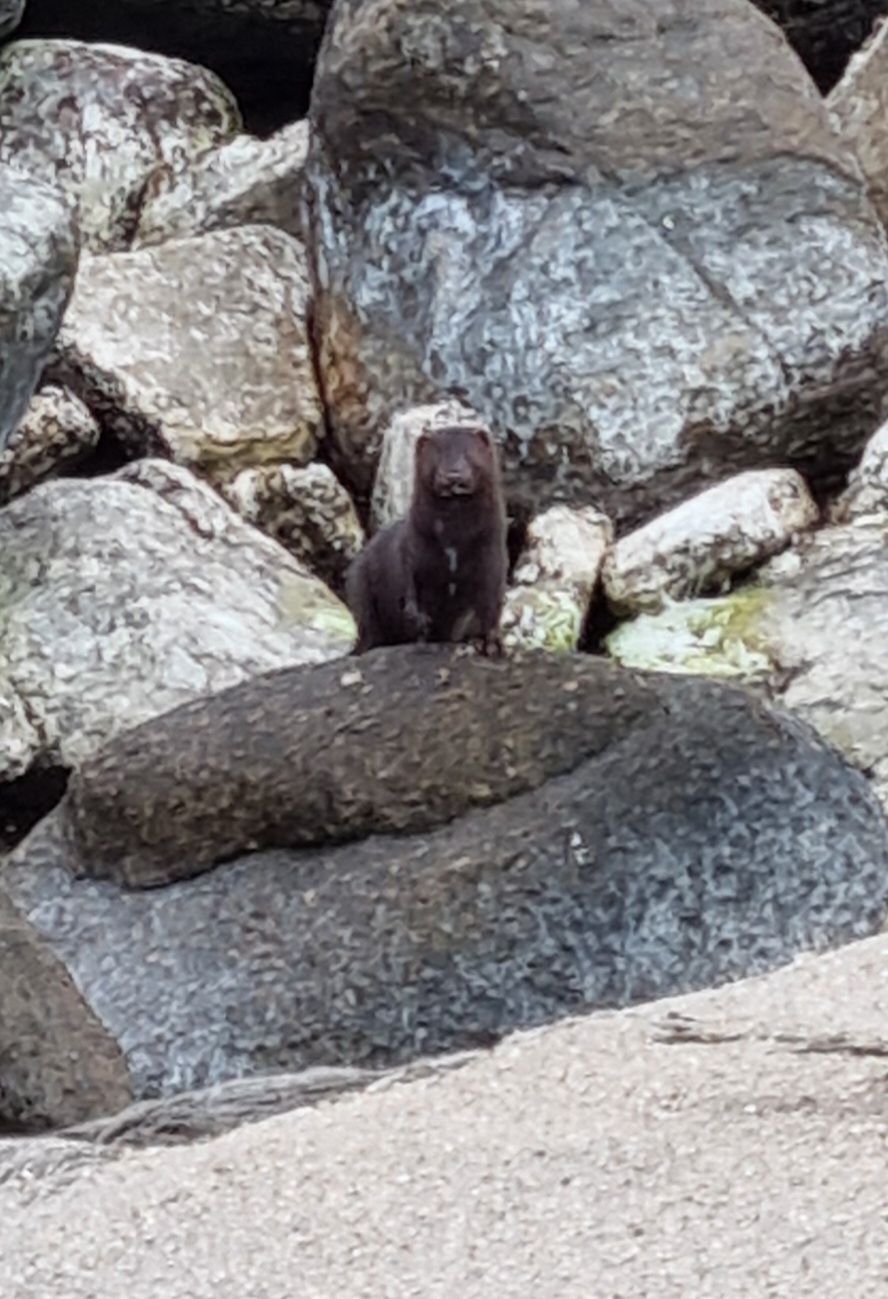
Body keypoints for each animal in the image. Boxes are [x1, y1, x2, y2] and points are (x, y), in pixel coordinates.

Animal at [346, 425, 507, 654]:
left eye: (468, 454)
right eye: (438, 455)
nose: (453, 473)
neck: (454, 539)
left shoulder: (492, 552)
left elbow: (491, 601)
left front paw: (490, 643)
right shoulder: (412, 545)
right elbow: (408, 581)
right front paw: (418, 618)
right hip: (359, 580)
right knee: (367, 625)